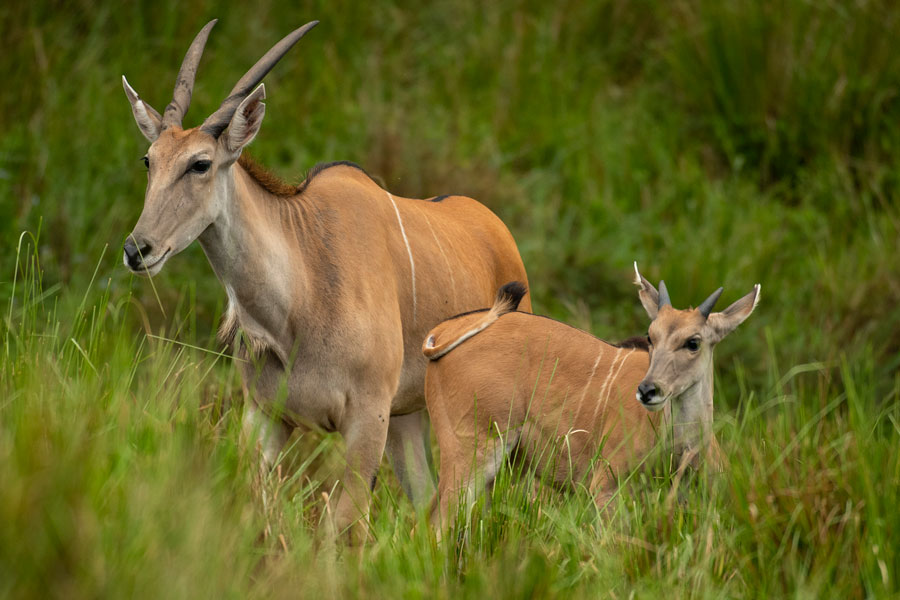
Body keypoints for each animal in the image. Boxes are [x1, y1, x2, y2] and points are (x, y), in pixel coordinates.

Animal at [118, 21, 528, 540]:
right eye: (149, 160)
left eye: (200, 163)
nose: (138, 250)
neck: (302, 294)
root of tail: (498, 231)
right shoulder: (266, 416)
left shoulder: (365, 421)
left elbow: (337, 529)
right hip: (408, 420)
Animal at [424, 264, 760, 532]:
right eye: (650, 336)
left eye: (693, 342)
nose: (647, 390)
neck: (680, 452)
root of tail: (442, 332)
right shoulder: (606, 487)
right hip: (472, 448)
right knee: (434, 524)